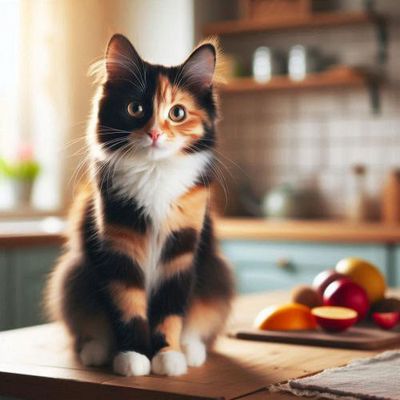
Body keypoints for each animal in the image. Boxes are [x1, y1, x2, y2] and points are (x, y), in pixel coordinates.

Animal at [45, 33, 234, 376]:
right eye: (136, 108)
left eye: (177, 113)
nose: (155, 133)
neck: (154, 173)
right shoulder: (120, 244)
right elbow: (128, 305)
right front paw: (133, 356)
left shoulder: (180, 249)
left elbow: (170, 310)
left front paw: (168, 355)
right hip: (74, 275)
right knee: (89, 330)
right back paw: (97, 350)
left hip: (215, 276)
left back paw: (191, 349)